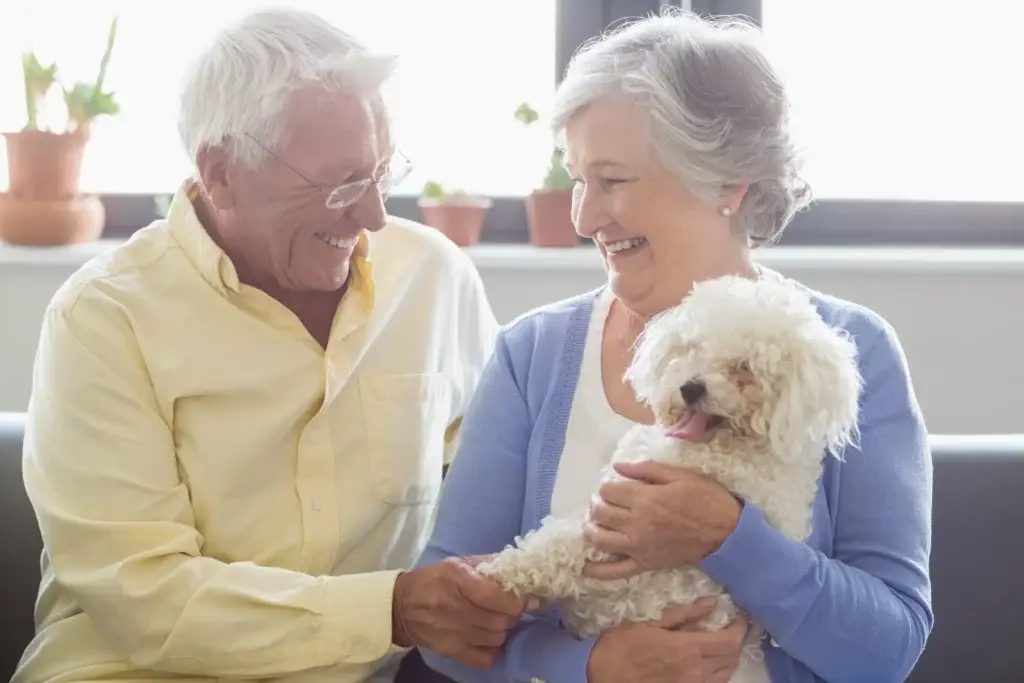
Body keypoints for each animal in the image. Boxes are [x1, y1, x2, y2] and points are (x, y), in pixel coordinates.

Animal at [477, 274, 864, 679]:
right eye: (692, 348)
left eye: (744, 367)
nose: (690, 387)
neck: (725, 449)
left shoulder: (614, 536)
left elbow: (554, 549)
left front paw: (502, 572)